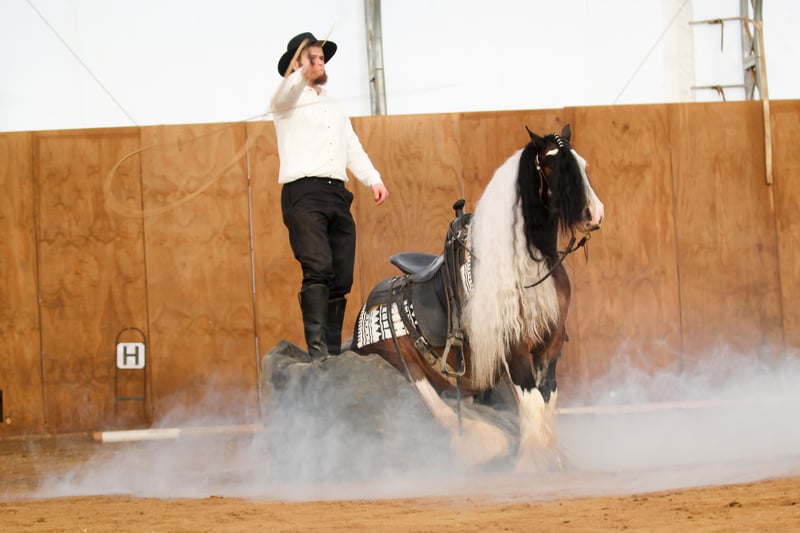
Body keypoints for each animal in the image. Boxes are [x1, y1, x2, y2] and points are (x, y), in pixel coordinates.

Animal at [351, 124, 604, 470]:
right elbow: (532, 402)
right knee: (441, 411)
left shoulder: (550, 344)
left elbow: (546, 401)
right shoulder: (514, 346)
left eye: (582, 164)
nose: (594, 214)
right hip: (405, 365)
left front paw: (554, 457)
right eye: (551, 163)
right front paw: (534, 463)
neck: (530, 265)